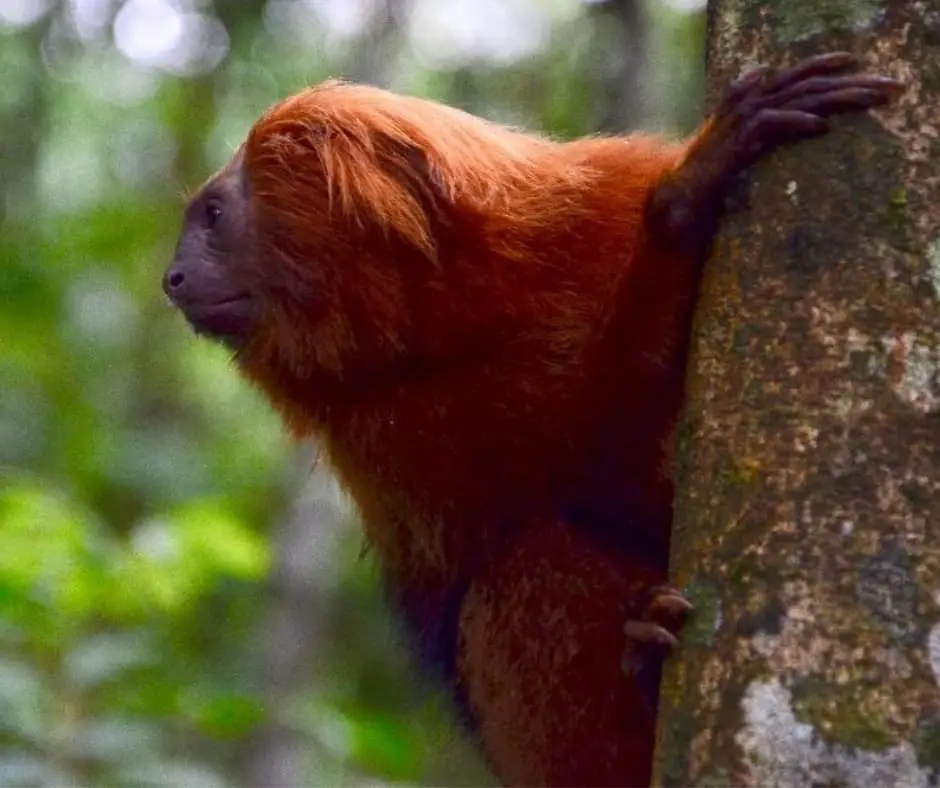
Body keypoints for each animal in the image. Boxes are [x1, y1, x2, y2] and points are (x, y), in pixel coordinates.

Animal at [163, 52, 904, 784]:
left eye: (213, 215)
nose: (171, 277)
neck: (460, 313)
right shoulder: (379, 426)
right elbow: (582, 473)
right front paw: (679, 214)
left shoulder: (600, 206)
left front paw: (683, 204)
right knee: (522, 560)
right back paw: (645, 663)